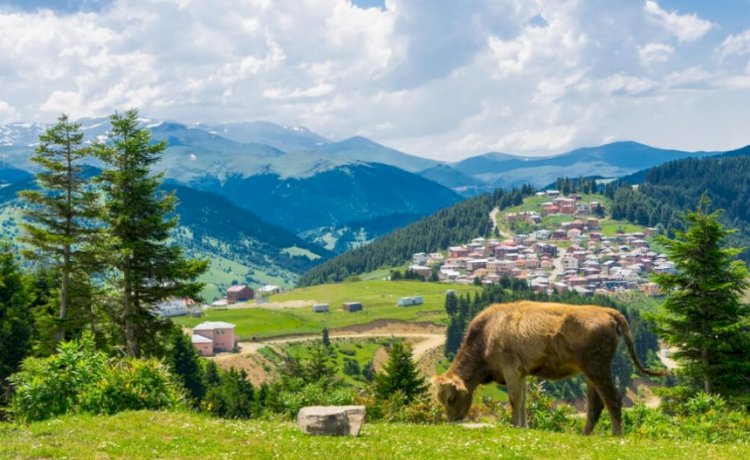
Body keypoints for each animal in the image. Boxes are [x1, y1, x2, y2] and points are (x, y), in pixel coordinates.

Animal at [432, 302, 668, 434]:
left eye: (451, 398)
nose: (450, 421)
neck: (487, 334)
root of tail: (607, 312)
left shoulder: (510, 369)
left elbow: (514, 399)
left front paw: (514, 426)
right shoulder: (521, 372)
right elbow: (524, 400)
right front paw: (524, 427)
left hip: (597, 367)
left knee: (613, 399)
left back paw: (616, 435)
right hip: (590, 371)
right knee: (595, 405)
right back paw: (585, 435)